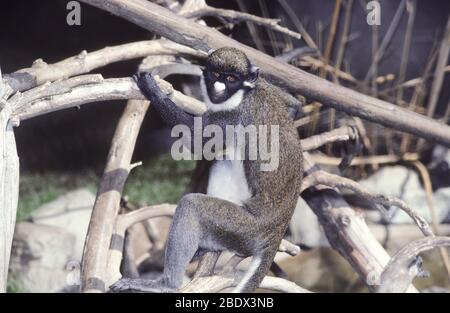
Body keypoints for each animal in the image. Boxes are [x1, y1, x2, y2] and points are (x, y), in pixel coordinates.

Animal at [110, 47, 304, 292]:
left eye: (231, 79)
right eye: (216, 74)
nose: (218, 88)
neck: (243, 95)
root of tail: (276, 232)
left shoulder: (230, 116)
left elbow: (195, 143)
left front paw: (154, 91)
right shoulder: (264, 87)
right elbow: (295, 105)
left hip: (246, 228)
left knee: (192, 205)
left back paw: (166, 284)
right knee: (222, 161)